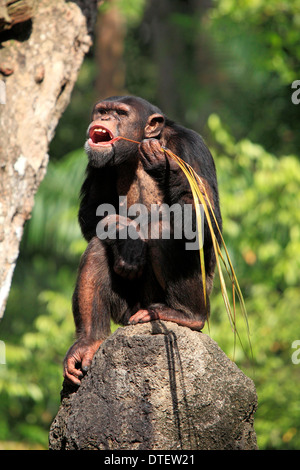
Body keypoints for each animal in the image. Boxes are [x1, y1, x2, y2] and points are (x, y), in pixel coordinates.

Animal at [63, 96, 221, 386]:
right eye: (102, 111)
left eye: (121, 114)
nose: (105, 119)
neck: (136, 153)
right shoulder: (97, 165)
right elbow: (93, 214)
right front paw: (125, 236)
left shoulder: (191, 146)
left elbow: (207, 219)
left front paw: (164, 166)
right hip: (128, 311)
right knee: (98, 247)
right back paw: (89, 342)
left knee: (165, 230)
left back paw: (186, 315)